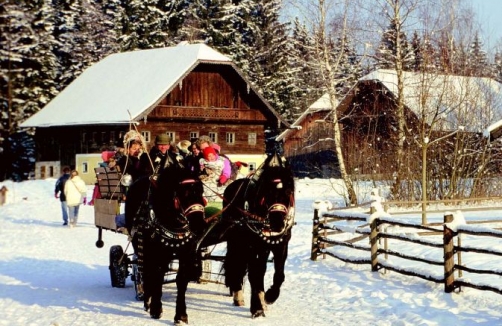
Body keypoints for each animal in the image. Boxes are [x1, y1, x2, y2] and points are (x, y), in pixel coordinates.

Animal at [125, 155, 208, 324]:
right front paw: (156, 308)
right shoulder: (157, 252)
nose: (200, 226)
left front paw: (181, 315)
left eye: (201, 191)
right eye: (184, 193)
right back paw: (147, 300)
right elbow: (157, 276)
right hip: (141, 246)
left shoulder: (186, 252)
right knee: (146, 271)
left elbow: (181, 280)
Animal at [222, 151, 296, 318]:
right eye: (267, 192)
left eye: (288, 192)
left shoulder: (281, 245)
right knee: (237, 264)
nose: (277, 223)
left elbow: (279, 274)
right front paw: (256, 307)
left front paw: (269, 296)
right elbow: (254, 274)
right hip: (236, 241)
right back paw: (239, 296)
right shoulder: (252, 245)